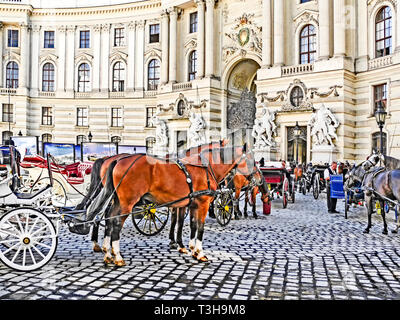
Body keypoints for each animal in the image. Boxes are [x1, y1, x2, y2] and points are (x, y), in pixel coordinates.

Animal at [86, 144, 250, 266]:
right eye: (250, 157)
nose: (251, 179)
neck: (204, 168)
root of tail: (117, 160)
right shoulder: (202, 204)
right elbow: (200, 228)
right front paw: (200, 253)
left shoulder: (192, 205)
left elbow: (192, 225)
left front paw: (192, 250)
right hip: (127, 203)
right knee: (115, 222)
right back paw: (117, 256)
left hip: (117, 201)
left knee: (108, 218)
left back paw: (107, 253)